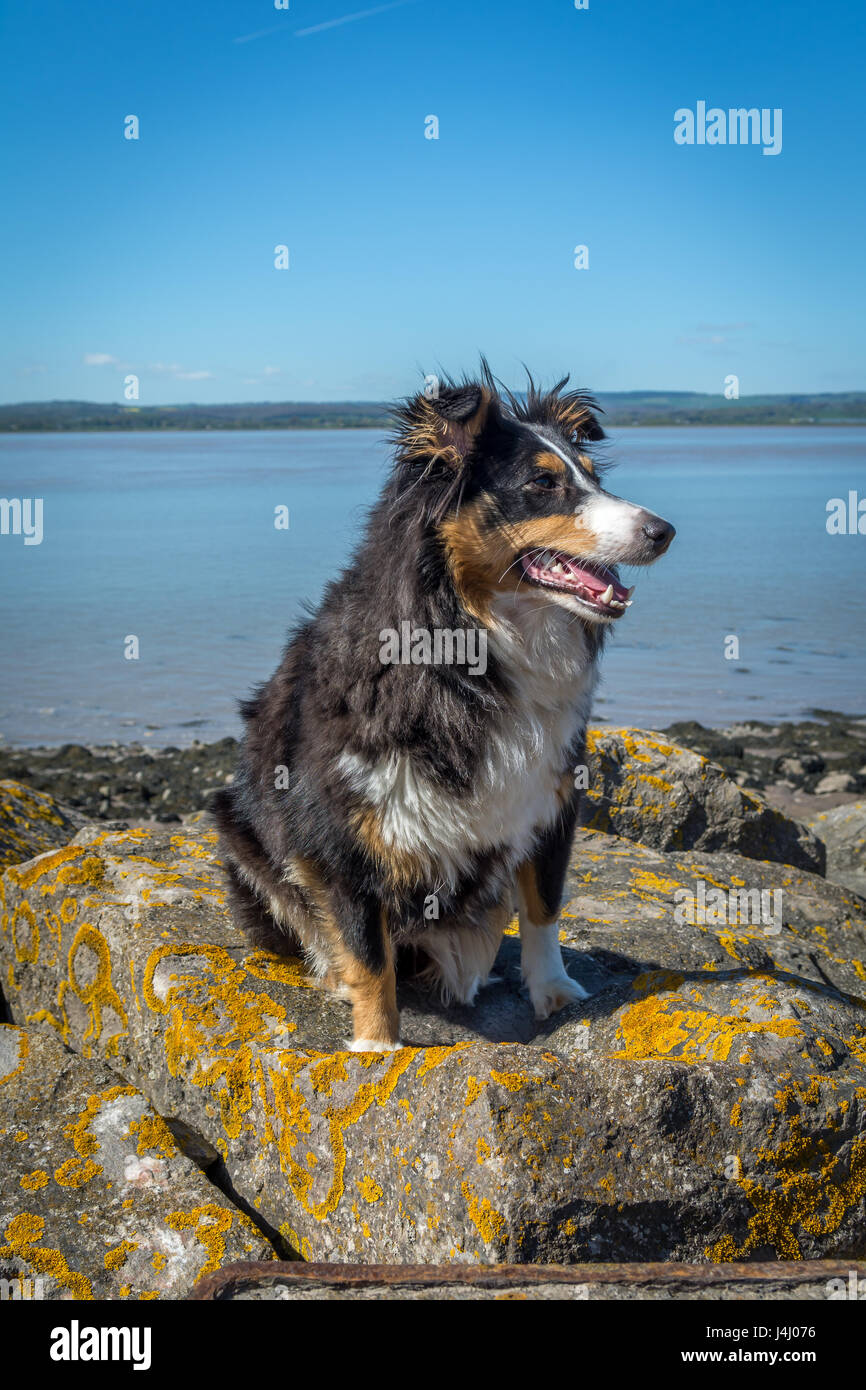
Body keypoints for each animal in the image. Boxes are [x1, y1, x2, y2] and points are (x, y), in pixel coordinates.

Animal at [211, 364, 678, 1045]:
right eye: (543, 482)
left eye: (595, 477)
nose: (664, 532)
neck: (472, 643)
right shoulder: (338, 823)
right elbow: (367, 947)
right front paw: (377, 1046)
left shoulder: (553, 796)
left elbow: (543, 905)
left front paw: (554, 993)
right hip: (239, 832)